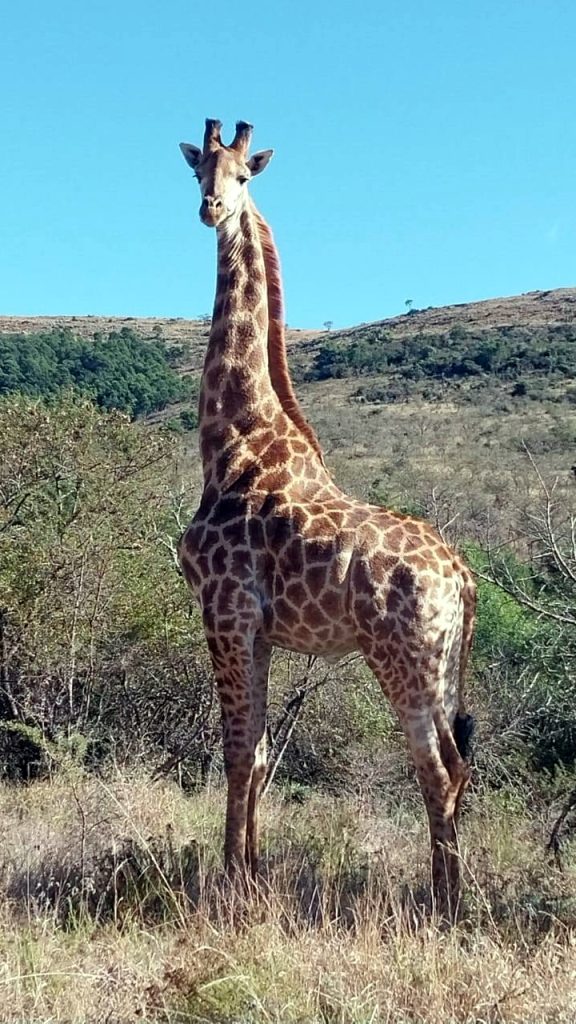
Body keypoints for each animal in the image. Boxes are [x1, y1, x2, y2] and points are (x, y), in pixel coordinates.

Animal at [178, 118, 476, 916]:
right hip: (442, 665)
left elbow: (235, 750)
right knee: (459, 764)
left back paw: (442, 906)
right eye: (197, 172)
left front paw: (228, 882)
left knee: (436, 769)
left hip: (401, 659)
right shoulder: (259, 627)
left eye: (244, 176)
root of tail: (467, 581)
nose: (211, 210)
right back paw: (456, 895)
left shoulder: (224, 608)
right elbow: (255, 754)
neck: (234, 438)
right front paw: (251, 873)